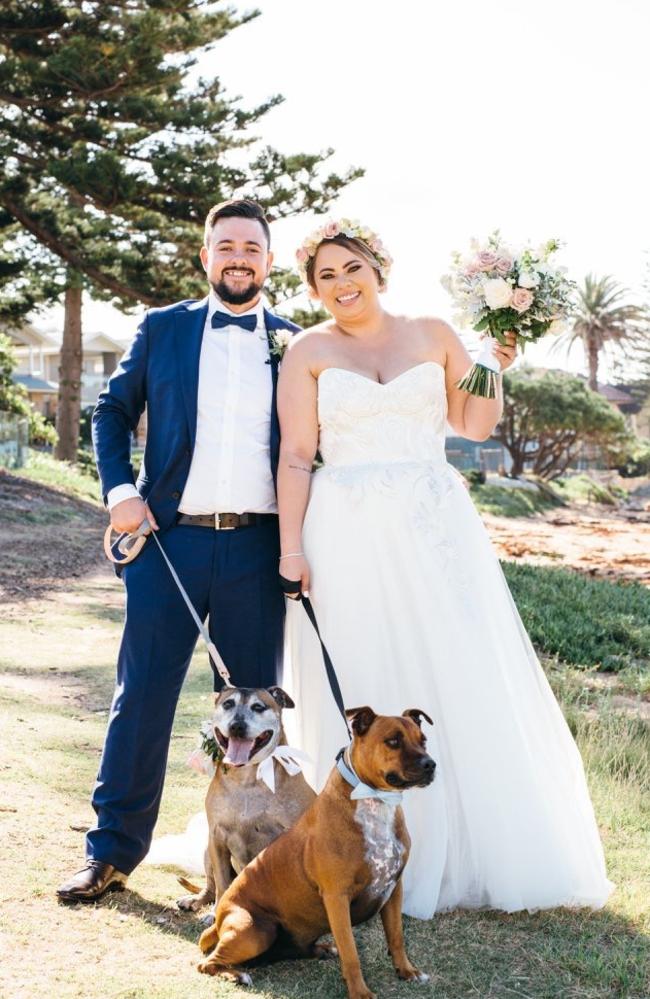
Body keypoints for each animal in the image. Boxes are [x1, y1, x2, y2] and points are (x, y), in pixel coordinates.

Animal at [195, 708, 432, 996]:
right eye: (393, 741)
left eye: (423, 740)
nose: (430, 764)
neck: (374, 802)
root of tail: (218, 919)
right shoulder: (337, 898)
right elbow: (350, 952)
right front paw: (360, 993)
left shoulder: (394, 889)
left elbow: (396, 937)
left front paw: (407, 971)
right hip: (252, 929)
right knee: (207, 963)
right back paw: (238, 975)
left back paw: (321, 949)